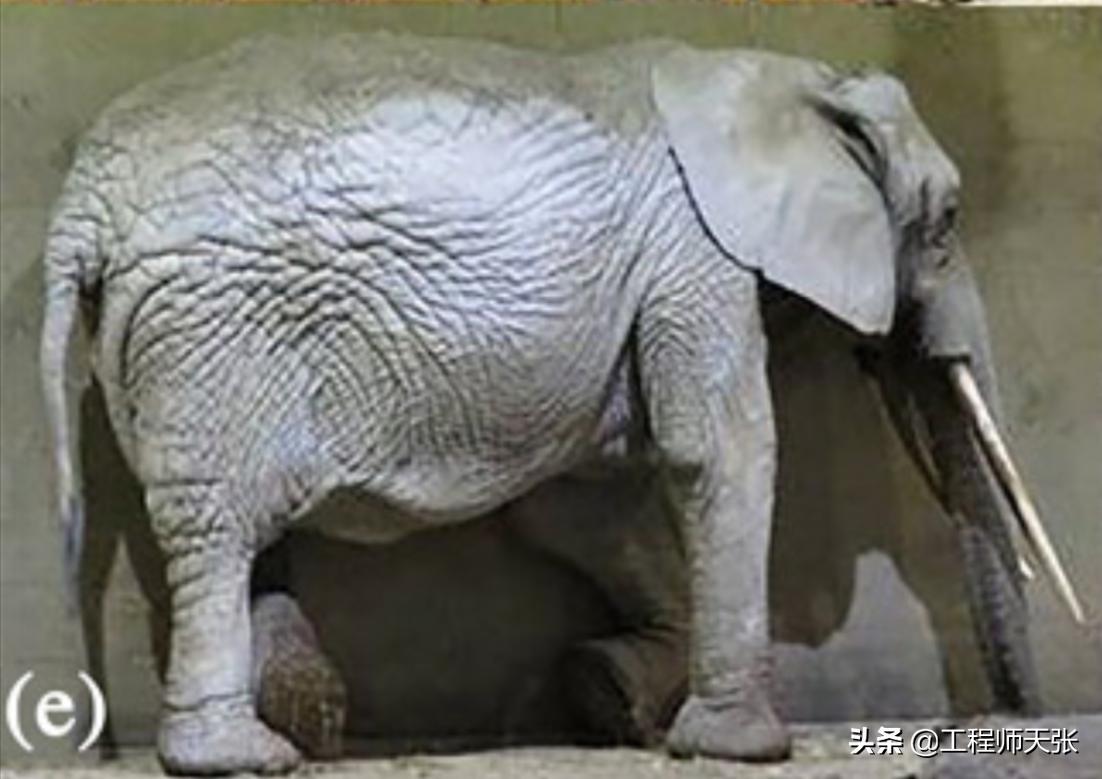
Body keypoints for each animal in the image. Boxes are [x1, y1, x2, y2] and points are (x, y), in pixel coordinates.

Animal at [40, 32, 1081, 775]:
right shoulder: (694, 259)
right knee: (218, 528)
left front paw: (611, 696)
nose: (1012, 722)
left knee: (239, 525)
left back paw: (305, 727)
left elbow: (584, 502)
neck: (782, 76)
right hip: (210, 330)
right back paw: (240, 758)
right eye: (947, 220)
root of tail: (80, 201)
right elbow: (720, 452)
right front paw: (744, 748)